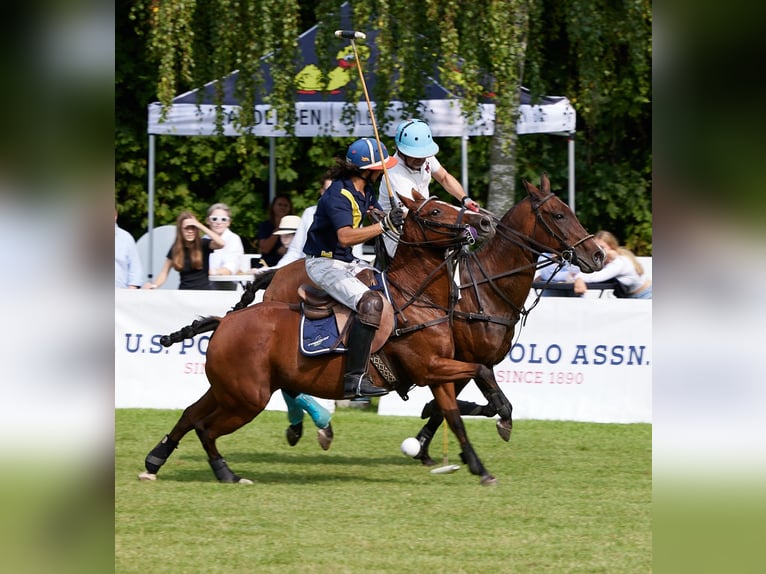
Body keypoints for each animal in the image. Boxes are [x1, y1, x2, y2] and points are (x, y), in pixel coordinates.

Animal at [139, 194, 500, 486]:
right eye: (436, 211)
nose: (484, 221)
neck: (416, 299)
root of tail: (224, 321)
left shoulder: (438, 374)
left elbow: (454, 418)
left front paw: (480, 467)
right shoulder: (428, 368)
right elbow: (479, 371)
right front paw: (500, 413)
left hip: (228, 389)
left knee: (191, 414)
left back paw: (155, 461)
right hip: (248, 398)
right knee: (206, 427)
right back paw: (227, 472)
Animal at [264, 173, 608, 466]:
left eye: (569, 211)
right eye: (558, 215)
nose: (598, 255)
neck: (486, 288)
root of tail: (276, 274)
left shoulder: (466, 362)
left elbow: (464, 404)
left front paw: (427, 445)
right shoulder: (459, 358)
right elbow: (464, 404)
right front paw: (424, 441)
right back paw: (313, 426)